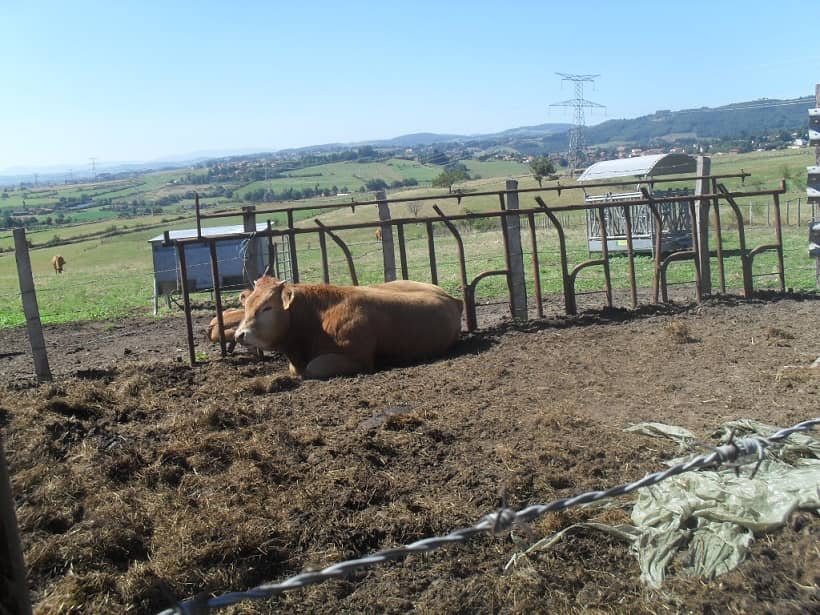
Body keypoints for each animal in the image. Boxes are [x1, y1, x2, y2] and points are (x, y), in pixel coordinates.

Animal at [234, 276, 464, 380]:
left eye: (267, 307)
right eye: (246, 304)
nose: (239, 334)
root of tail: (451, 298)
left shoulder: (359, 359)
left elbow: (313, 368)